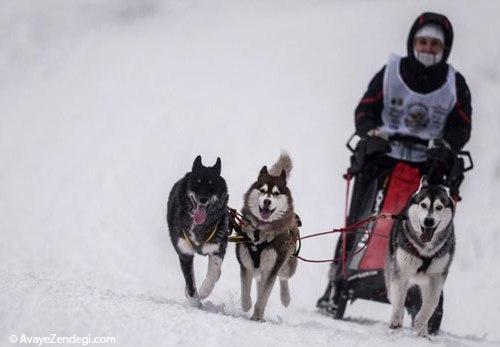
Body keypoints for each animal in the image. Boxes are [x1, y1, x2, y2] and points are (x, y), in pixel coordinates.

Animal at [168, 156, 230, 304]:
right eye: (198, 182)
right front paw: (194, 300)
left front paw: (204, 291)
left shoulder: (217, 248)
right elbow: (190, 282)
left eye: (212, 184)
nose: (203, 199)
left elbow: (213, 273)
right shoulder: (184, 252)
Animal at [234, 154, 296, 322]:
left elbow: (263, 298)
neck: (260, 232)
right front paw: (247, 305)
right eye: (262, 191)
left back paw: (286, 298)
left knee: (283, 277)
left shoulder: (271, 269)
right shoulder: (246, 265)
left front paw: (257, 315)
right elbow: (245, 292)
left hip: (286, 265)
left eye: (276, 193)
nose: (267, 201)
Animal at [384, 177, 456, 338]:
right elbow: (399, 299)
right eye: (423, 205)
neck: (425, 250)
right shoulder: (401, 272)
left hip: (425, 282)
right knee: (393, 295)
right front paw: (396, 320)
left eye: (439, 207)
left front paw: (421, 321)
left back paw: (423, 333)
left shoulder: (437, 276)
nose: (429, 221)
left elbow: (432, 302)